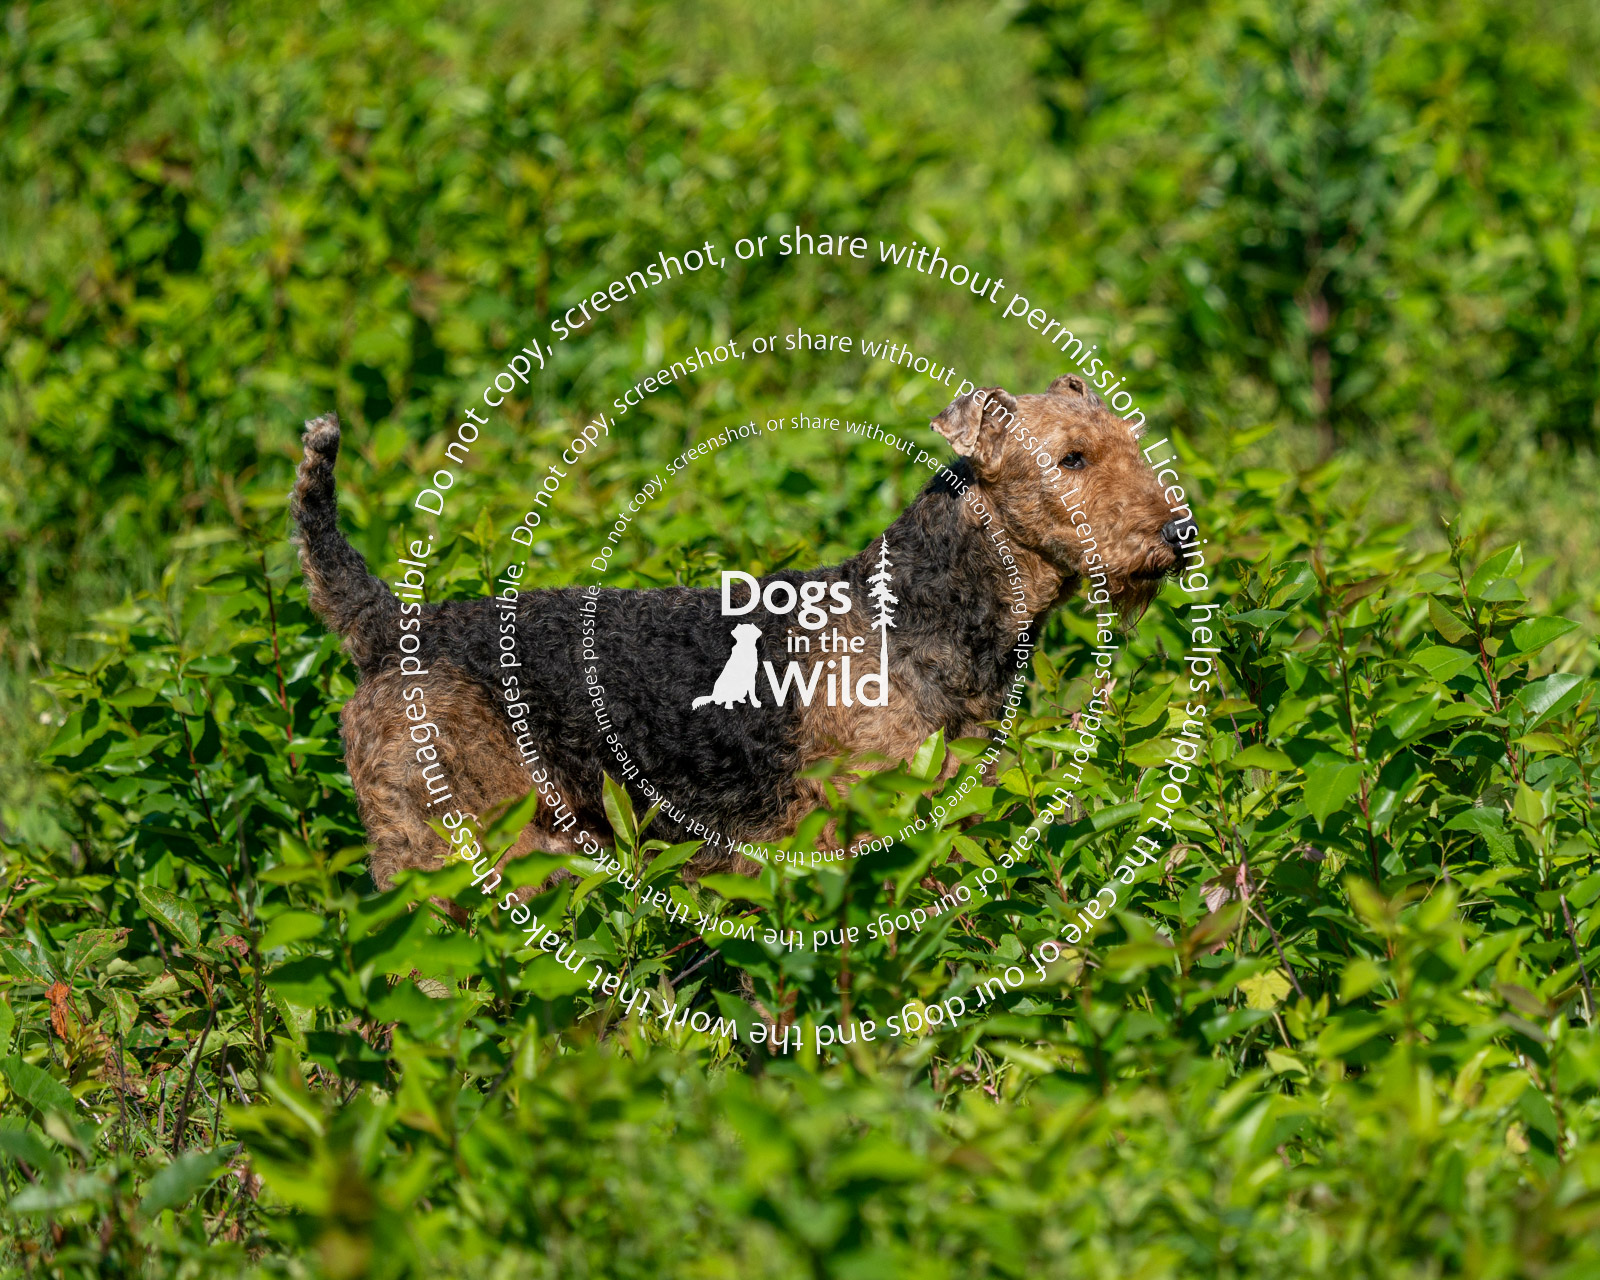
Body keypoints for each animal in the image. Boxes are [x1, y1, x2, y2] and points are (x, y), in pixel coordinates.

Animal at [291, 375, 1189, 889]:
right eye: (1072, 459)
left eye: (1134, 442)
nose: (1178, 535)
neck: (926, 609)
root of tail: (388, 626)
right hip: (453, 843)